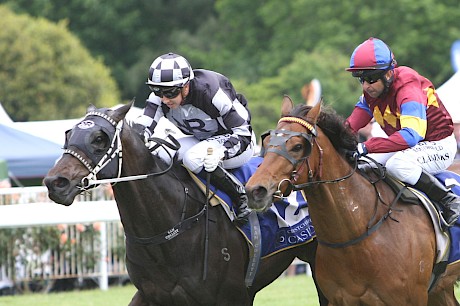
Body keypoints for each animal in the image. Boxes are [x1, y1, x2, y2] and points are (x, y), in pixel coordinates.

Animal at [246, 99, 460, 304]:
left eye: (298, 146)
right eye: (267, 142)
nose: (255, 190)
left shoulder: (411, 298)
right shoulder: (340, 299)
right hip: (440, 289)